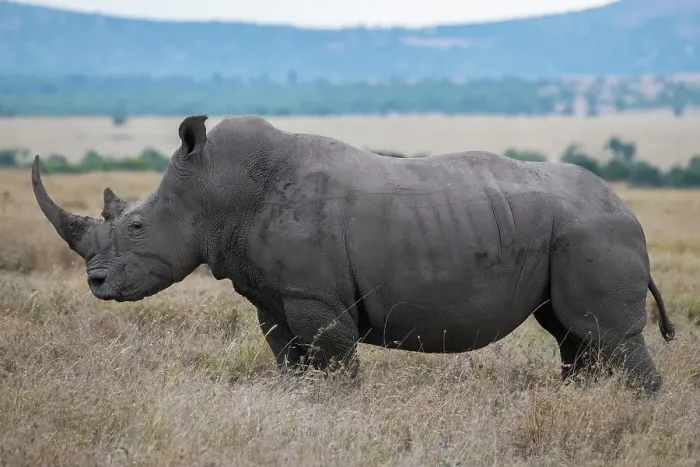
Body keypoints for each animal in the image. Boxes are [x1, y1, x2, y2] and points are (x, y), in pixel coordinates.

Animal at [31, 114, 675, 393]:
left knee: (606, 336)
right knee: (573, 334)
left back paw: (632, 408)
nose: (95, 283)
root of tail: (630, 211)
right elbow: (287, 356)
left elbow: (334, 356)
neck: (216, 187)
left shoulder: (315, 295)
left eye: (137, 225)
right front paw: (298, 401)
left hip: (594, 231)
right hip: (572, 233)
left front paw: (339, 404)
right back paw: (585, 401)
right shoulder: (275, 295)